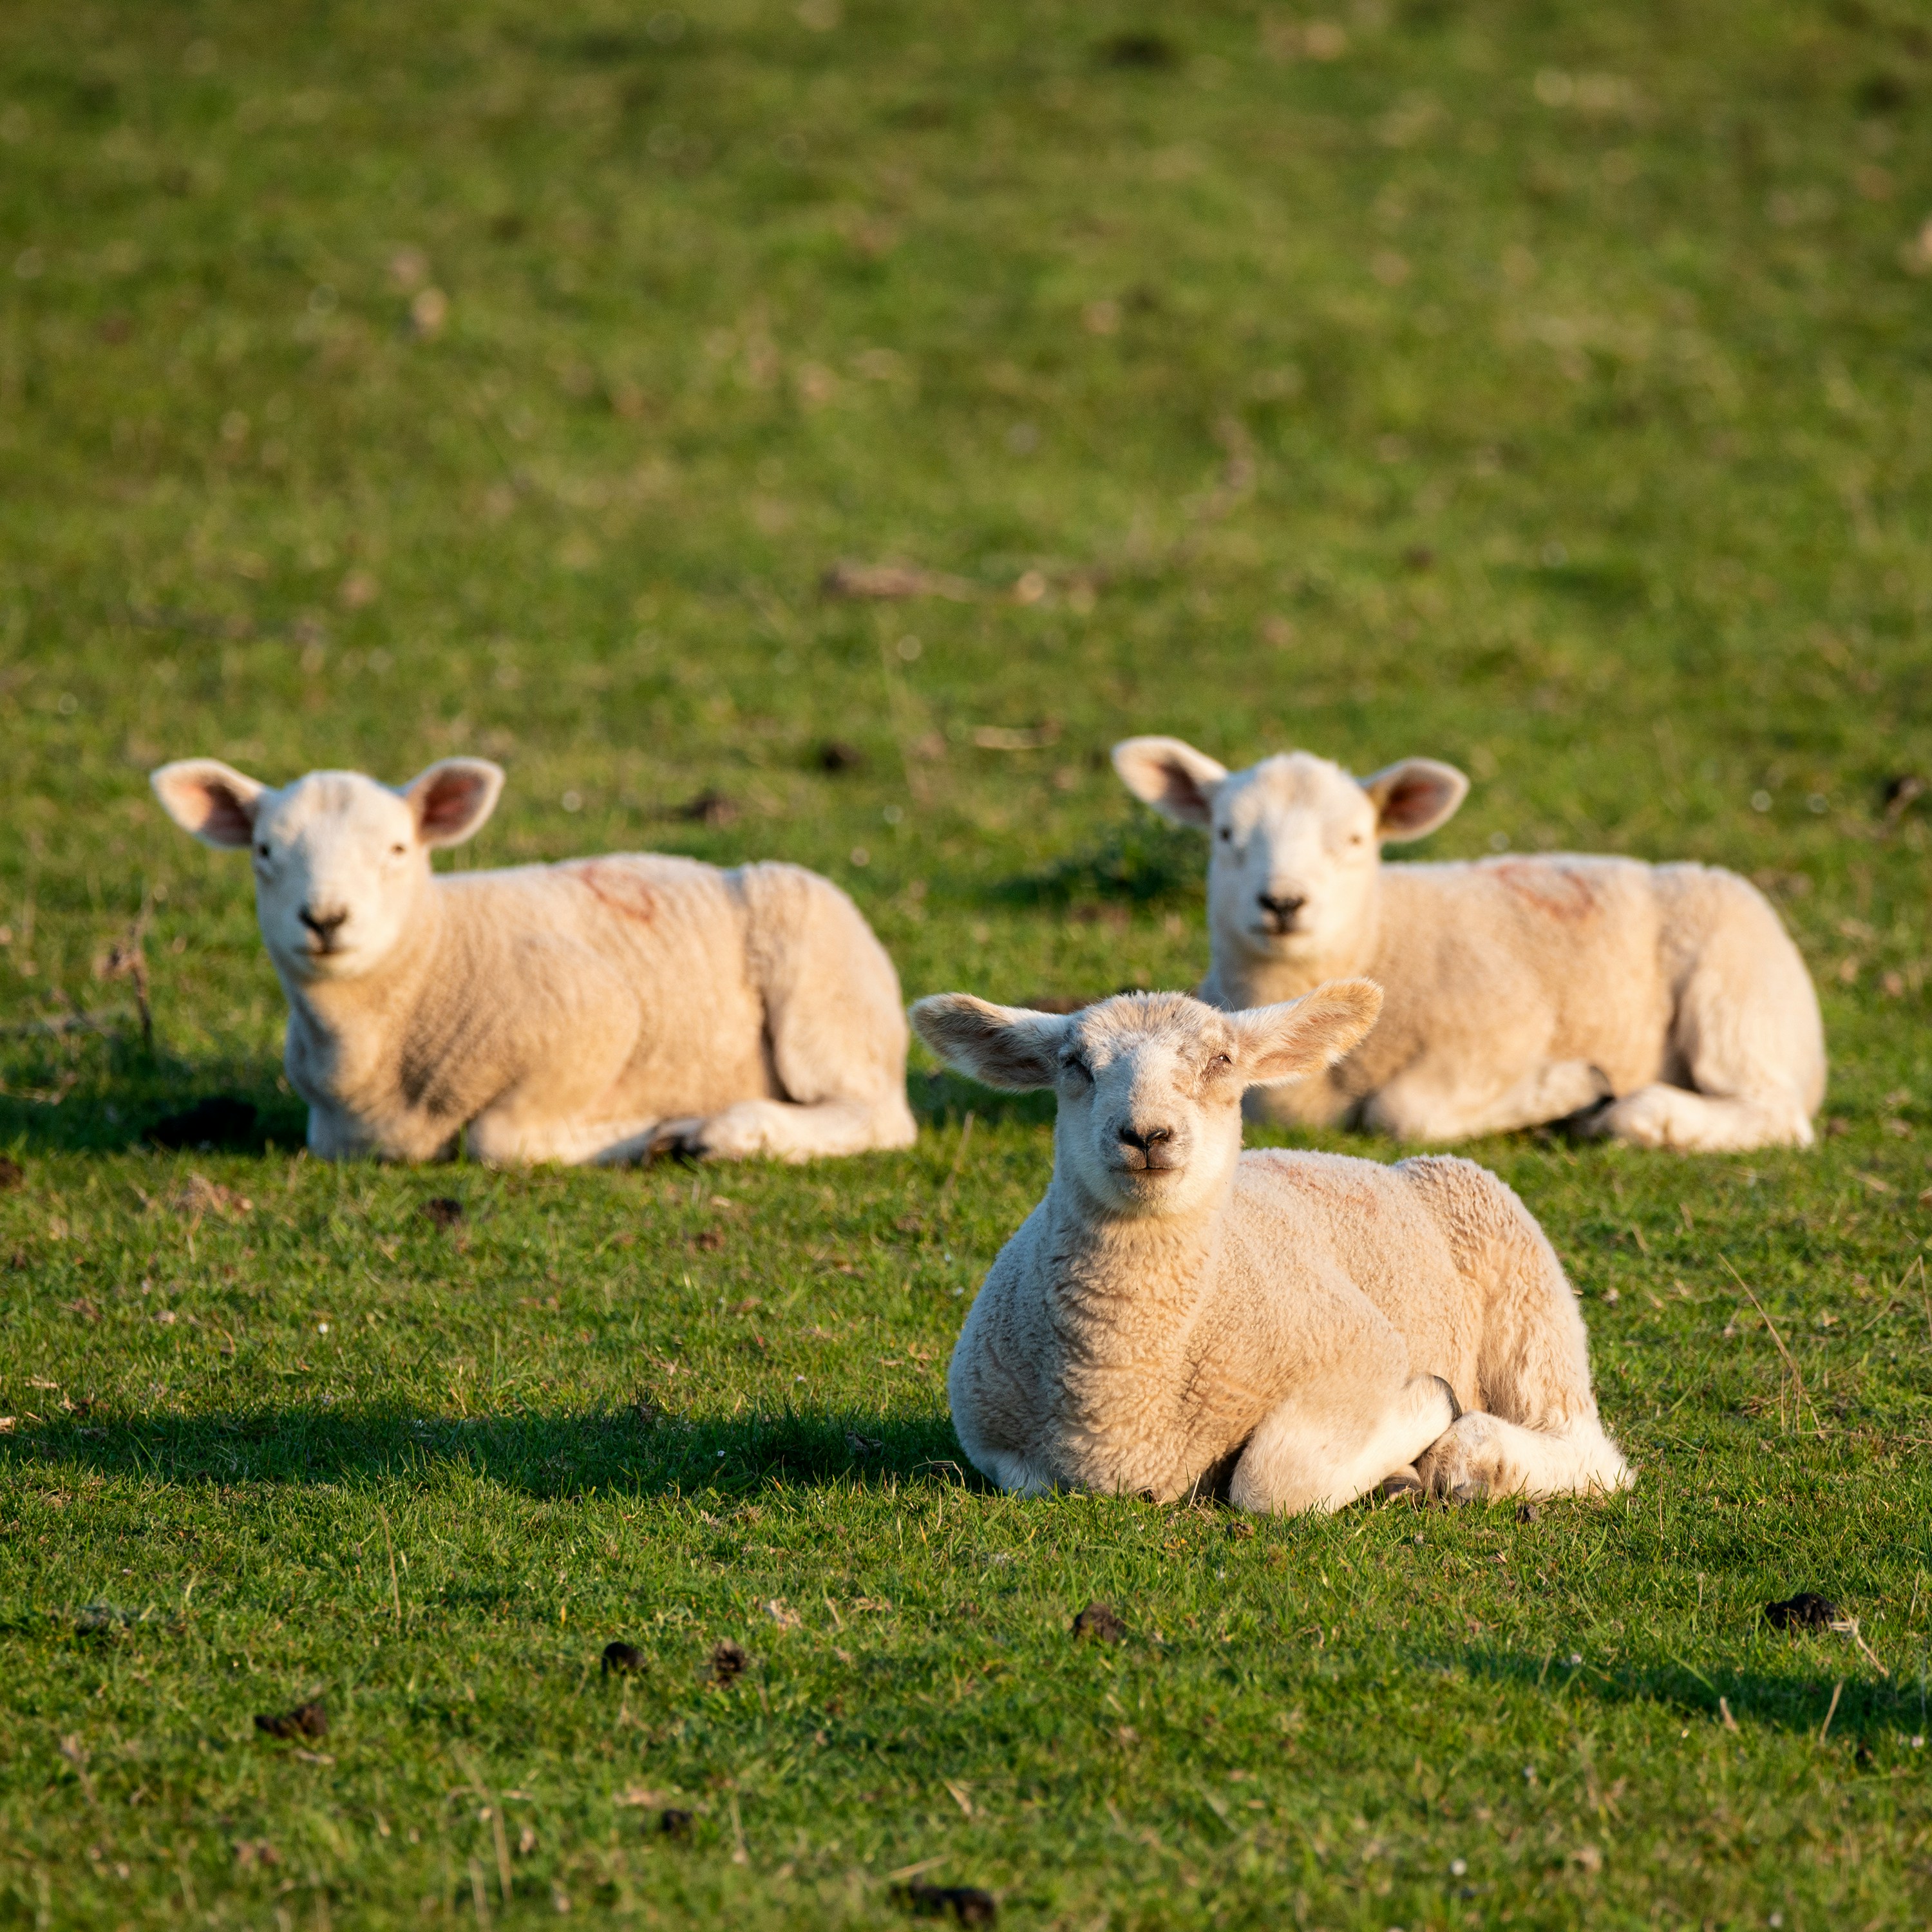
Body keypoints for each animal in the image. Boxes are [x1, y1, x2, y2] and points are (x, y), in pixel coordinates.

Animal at [150, 756, 918, 1166]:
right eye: (264, 851)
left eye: (397, 849)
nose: (326, 919)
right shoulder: (336, 1135)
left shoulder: (597, 1016)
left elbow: (499, 1139)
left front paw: (643, 1135)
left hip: (824, 992)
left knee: (878, 1115)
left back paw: (727, 1131)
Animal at [911, 983, 1630, 1511]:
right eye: (1075, 1065)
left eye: (1221, 1062)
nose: (1146, 1134)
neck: (1122, 1394)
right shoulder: (996, 1442)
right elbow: (1029, 1480)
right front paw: (1396, 1468)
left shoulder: (1364, 1348)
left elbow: (1270, 1482)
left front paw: (1429, 1409)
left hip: (1522, 1282)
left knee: (1589, 1449)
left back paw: (1472, 1456)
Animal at [1111, 736, 1825, 1152]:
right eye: (1226, 834)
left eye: (1354, 840)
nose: (1283, 903)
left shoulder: (1509, 1025)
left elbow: (1403, 1113)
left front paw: (1571, 1087)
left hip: (1733, 1000)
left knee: (1776, 1112)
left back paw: (1639, 1114)